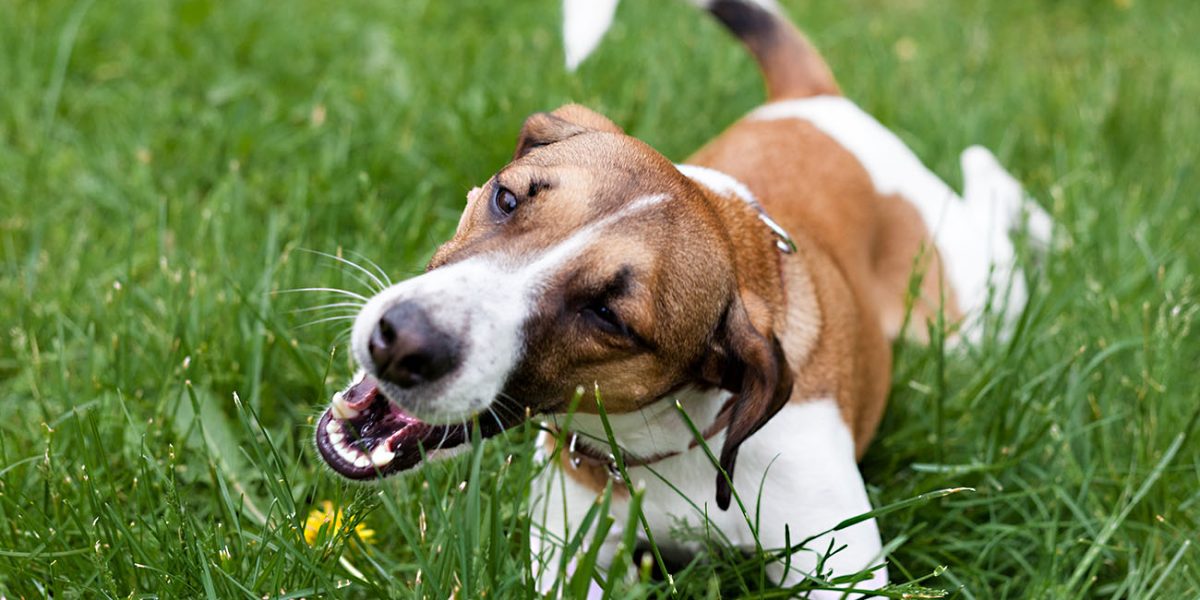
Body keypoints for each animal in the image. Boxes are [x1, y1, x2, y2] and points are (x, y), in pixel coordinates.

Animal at [312, 0, 1051, 592]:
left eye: (608, 315)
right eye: (506, 198)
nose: (400, 340)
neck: (674, 441)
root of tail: (815, 102)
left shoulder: (842, 568)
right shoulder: (569, 550)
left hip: (971, 316)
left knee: (989, 198)